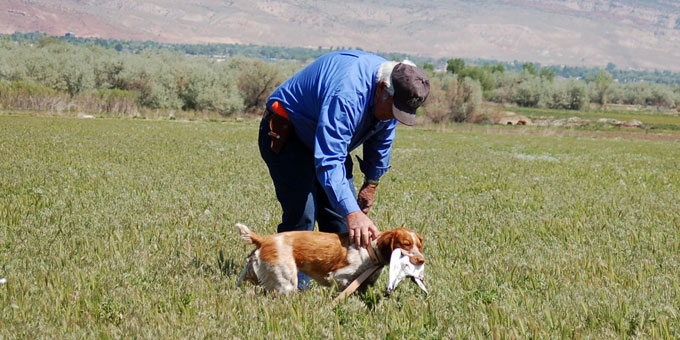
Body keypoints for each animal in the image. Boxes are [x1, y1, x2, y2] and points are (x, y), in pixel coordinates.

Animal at [235, 224, 424, 294]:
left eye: (420, 245)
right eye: (406, 244)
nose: (422, 260)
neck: (371, 251)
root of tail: (265, 239)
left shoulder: (366, 283)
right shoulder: (339, 277)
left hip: (252, 273)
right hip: (286, 282)